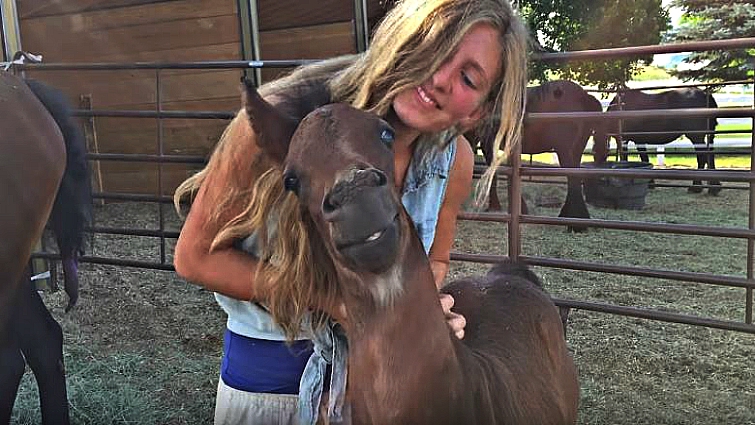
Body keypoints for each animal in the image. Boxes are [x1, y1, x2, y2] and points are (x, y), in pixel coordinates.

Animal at [466, 80, 607, 232]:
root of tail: (584, 95)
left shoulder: (488, 142)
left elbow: (495, 175)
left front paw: (496, 207)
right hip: (576, 149)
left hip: (565, 150)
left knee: (573, 178)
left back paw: (576, 223)